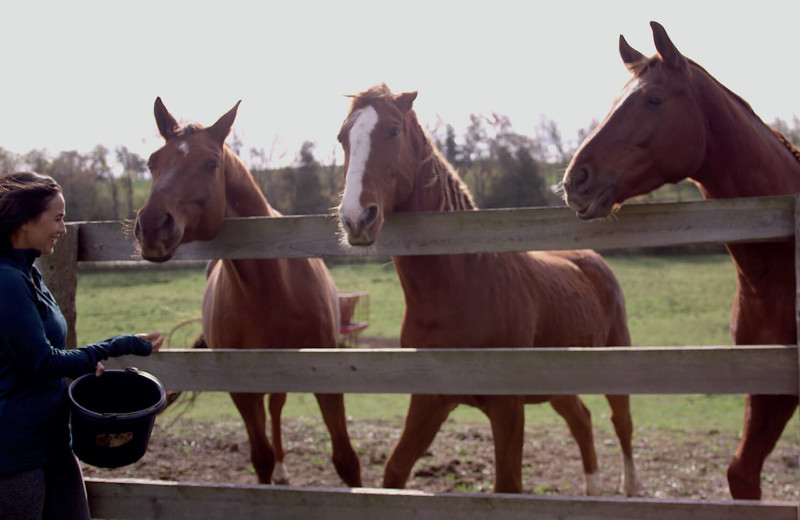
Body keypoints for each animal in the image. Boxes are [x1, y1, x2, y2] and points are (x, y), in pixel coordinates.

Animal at [136, 97, 360, 488]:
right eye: (152, 162)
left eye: (211, 163)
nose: (151, 226)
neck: (271, 288)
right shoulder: (241, 389)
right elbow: (261, 458)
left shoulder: (326, 373)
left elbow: (346, 460)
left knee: (277, 406)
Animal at [334, 84, 640, 496]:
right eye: (342, 138)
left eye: (393, 131)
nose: (355, 219)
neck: (462, 288)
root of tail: (591, 260)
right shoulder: (429, 400)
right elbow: (394, 471)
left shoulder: (507, 407)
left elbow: (507, 483)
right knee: (582, 419)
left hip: (615, 359)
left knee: (621, 422)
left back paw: (631, 488)